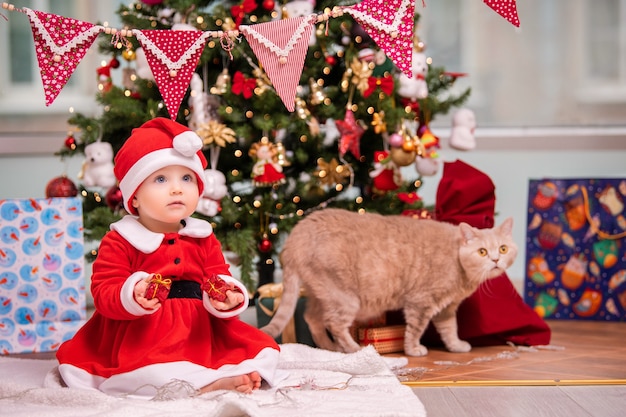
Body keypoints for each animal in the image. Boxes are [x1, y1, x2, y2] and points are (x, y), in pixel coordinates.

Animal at [260, 207, 516, 354]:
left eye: (503, 249)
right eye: (482, 252)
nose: (495, 259)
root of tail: (298, 233)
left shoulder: (447, 309)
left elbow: (450, 330)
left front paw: (455, 346)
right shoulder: (420, 303)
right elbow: (415, 330)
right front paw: (413, 350)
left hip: (320, 294)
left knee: (312, 319)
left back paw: (329, 348)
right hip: (344, 297)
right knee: (334, 324)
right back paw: (354, 349)